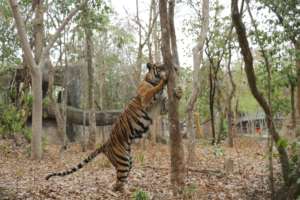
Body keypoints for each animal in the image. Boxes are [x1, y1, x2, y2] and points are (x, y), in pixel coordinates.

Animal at [46, 62, 169, 192]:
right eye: (160, 66)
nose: (166, 67)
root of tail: (106, 143)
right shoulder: (146, 97)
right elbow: (155, 89)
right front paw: (165, 79)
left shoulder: (162, 108)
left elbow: (165, 104)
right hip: (123, 160)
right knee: (118, 183)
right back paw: (128, 191)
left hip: (128, 160)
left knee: (120, 181)